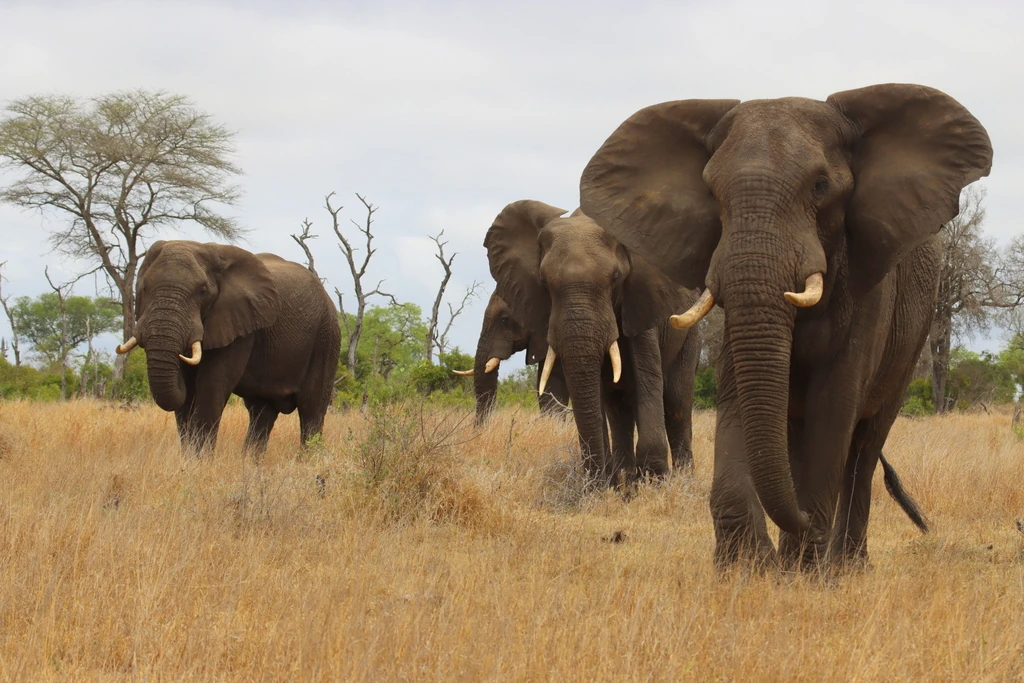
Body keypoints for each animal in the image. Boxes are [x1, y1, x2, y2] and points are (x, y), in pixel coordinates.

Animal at [115, 240, 339, 454]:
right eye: (144, 288)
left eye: (202, 291)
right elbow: (187, 393)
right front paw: (187, 459)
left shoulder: (240, 325)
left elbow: (213, 384)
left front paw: (198, 462)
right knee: (261, 411)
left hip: (326, 338)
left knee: (311, 408)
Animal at [483, 200, 700, 483]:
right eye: (543, 282)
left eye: (617, 278)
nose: (594, 482)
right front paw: (607, 484)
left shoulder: (640, 302)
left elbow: (646, 377)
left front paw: (654, 481)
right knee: (618, 408)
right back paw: (625, 476)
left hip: (689, 331)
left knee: (676, 402)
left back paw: (682, 480)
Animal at [585, 83, 991, 573]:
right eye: (711, 192)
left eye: (820, 187)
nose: (803, 522)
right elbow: (740, 393)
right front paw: (746, 569)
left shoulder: (870, 283)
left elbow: (834, 405)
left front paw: (800, 573)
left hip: (915, 332)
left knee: (865, 444)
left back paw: (845, 567)